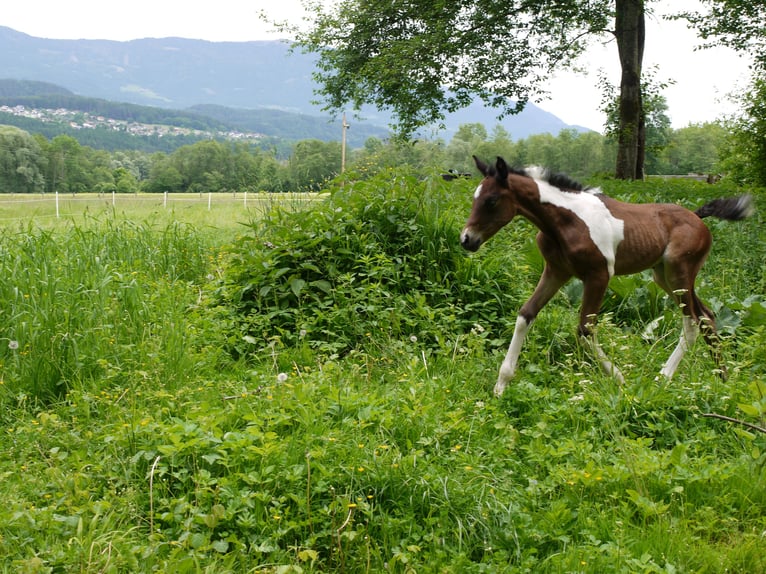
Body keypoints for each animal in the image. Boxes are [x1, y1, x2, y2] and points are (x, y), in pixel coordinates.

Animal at [460, 156, 754, 397]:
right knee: (707, 316)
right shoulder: (556, 271)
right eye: (474, 198)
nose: (467, 239)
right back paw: (723, 379)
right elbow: (526, 314)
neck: (565, 221)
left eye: (491, 201)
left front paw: (621, 380)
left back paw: (663, 378)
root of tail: (696, 215)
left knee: (692, 320)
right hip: (664, 277)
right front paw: (501, 385)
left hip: (679, 274)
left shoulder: (599, 276)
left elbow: (585, 329)